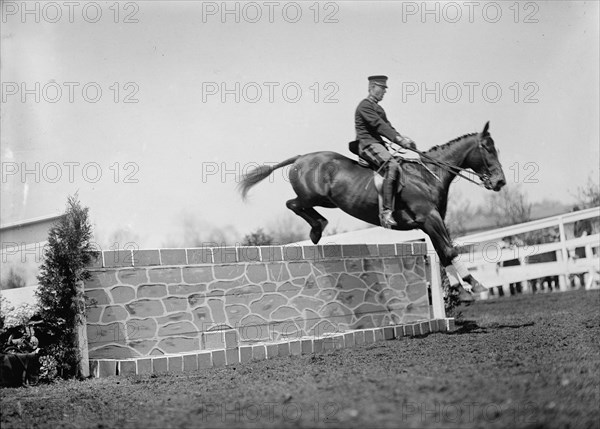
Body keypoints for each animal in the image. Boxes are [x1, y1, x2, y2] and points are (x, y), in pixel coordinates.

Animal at [239, 122, 506, 300]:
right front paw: (474, 284)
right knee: (293, 204)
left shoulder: (430, 223)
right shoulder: (430, 218)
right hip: (314, 196)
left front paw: (459, 287)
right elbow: (449, 250)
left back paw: (317, 227)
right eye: (487, 148)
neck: (429, 176)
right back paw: (316, 230)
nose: (500, 182)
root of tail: (301, 157)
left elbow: (443, 252)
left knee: (299, 206)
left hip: (327, 201)